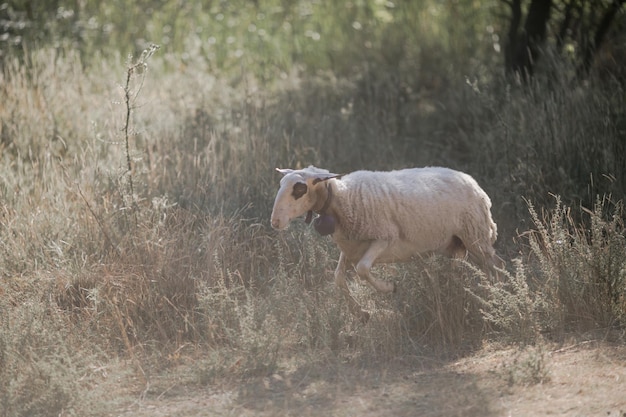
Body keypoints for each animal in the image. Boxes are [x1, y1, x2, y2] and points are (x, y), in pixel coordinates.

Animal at [270, 164, 502, 320]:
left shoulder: (385, 239)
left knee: (494, 265)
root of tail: (473, 182)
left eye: (299, 189)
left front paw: (389, 288)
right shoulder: (351, 248)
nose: (275, 222)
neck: (344, 199)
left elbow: (363, 269)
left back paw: (495, 296)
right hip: (457, 244)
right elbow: (338, 278)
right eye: (281, 184)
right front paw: (361, 313)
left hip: (476, 235)